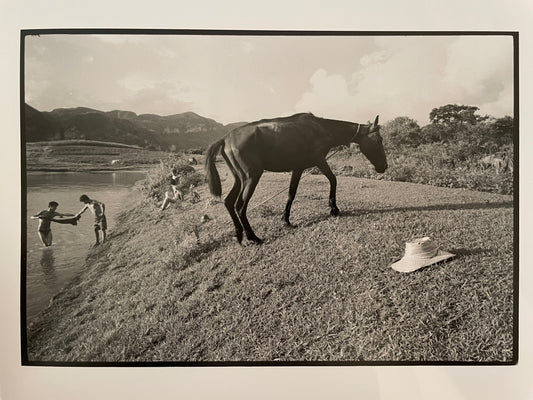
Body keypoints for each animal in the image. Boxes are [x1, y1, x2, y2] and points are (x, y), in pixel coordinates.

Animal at [205, 112, 386, 244]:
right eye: (379, 139)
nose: (384, 166)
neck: (321, 129)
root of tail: (226, 138)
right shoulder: (319, 161)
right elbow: (333, 179)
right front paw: (334, 208)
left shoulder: (298, 168)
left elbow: (291, 193)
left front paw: (286, 220)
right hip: (251, 178)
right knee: (240, 207)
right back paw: (253, 237)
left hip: (239, 179)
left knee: (228, 202)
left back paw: (239, 234)